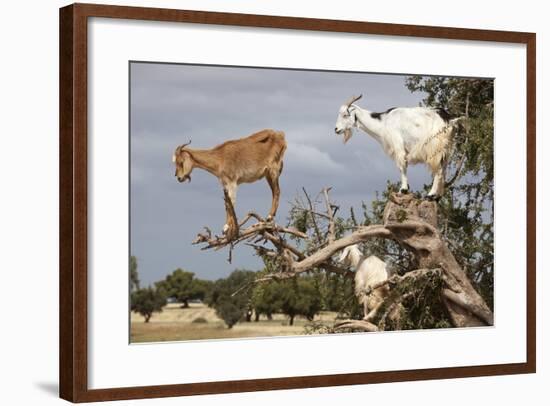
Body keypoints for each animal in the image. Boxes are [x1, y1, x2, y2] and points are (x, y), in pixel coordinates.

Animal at [334, 94, 464, 198]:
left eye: (345, 115)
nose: (336, 129)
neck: (384, 122)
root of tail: (449, 119)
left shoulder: (398, 146)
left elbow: (402, 166)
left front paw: (403, 190)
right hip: (447, 149)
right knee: (443, 170)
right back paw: (437, 196)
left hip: (435, 148)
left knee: (438, 171)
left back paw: (431, 195)